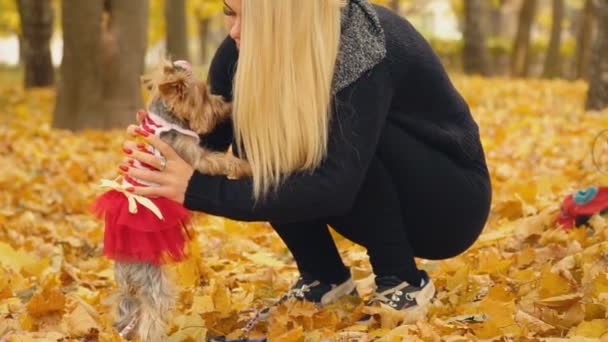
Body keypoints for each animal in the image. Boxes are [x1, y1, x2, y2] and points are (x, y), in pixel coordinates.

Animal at [108, 58, 249, 340]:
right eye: (205, 96)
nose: (225, 103)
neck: (167, 120)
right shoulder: (191, 155)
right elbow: (218, 159)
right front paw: (244, 166)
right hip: (154, 279)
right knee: (152, 315)